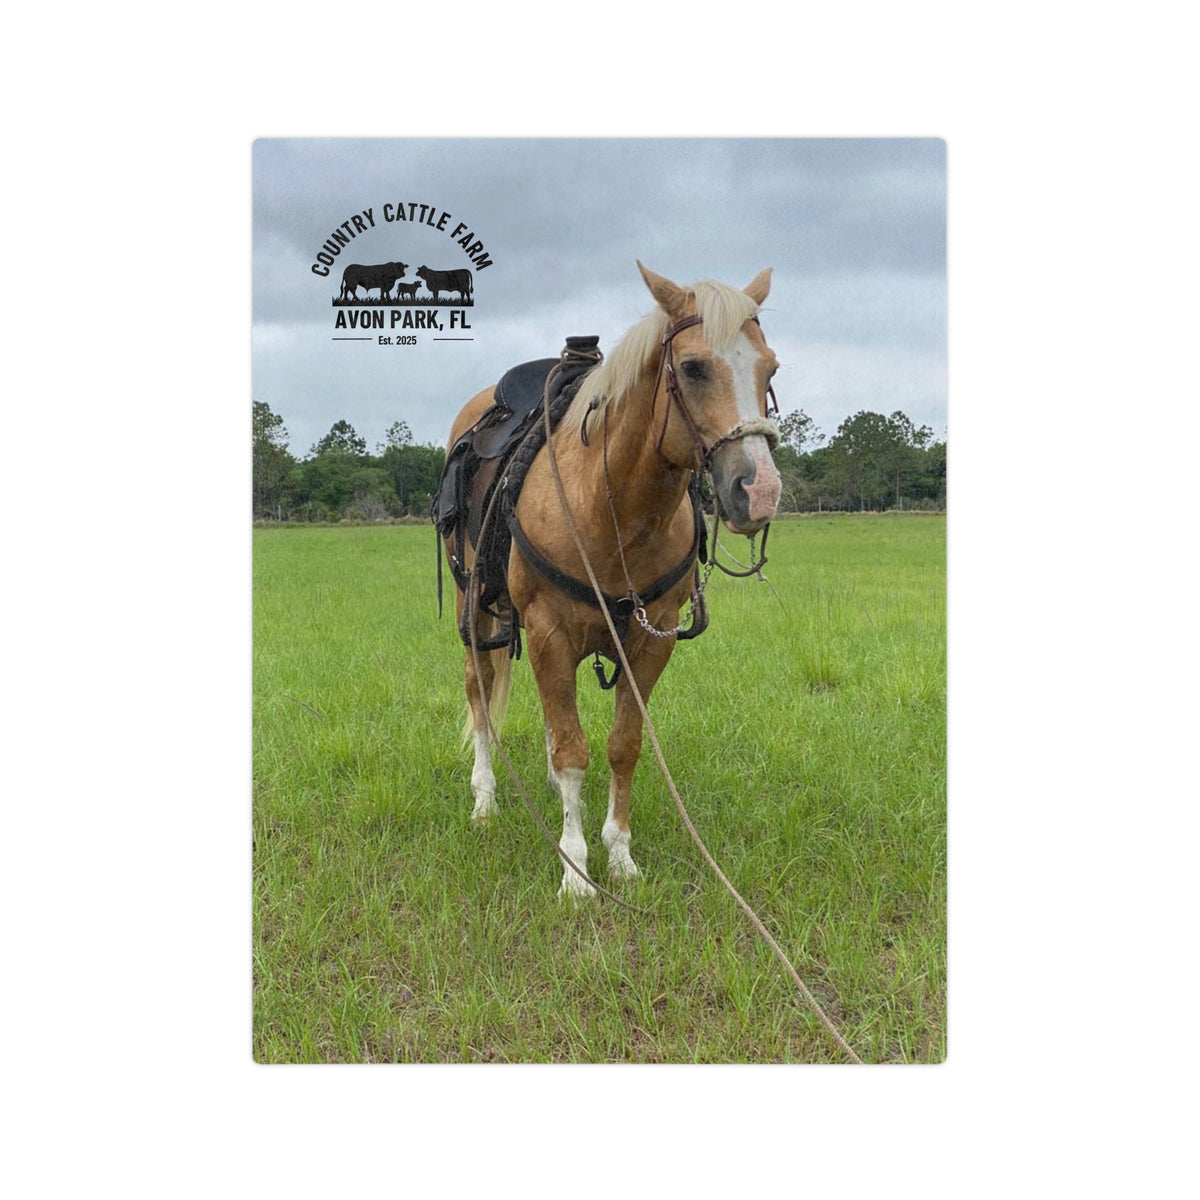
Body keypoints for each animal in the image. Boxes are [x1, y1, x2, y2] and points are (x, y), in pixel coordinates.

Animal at [442, 262, 783, 896]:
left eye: (770, 367)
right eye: (693, 368)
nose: (760, 492)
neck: (609, 506)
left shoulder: (651, 640)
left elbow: (622, 746)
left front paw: (620, 854)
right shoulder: (548, 632)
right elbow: (572, 751)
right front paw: (576, 871)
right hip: (474, 607)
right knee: (480, 691)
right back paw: (485, 801)